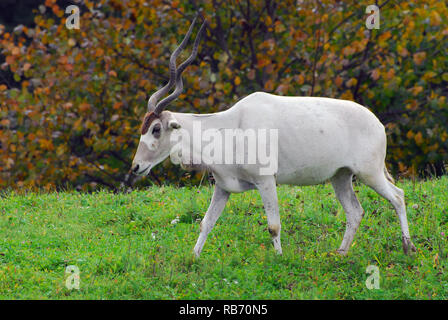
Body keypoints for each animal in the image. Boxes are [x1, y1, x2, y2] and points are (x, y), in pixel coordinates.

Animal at [130, 16, 416, 258]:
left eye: (156, 129)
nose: (136, 167)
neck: (230, 127)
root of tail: (377, 123)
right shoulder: (223, 187)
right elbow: (206, 223)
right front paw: (193, 258)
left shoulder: (266, 181)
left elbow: (273, 226)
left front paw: (279, 259)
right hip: (340, 177)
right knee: (355, 211)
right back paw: (341, 254)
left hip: (370, 173)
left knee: (398, 196)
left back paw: (408, 247)